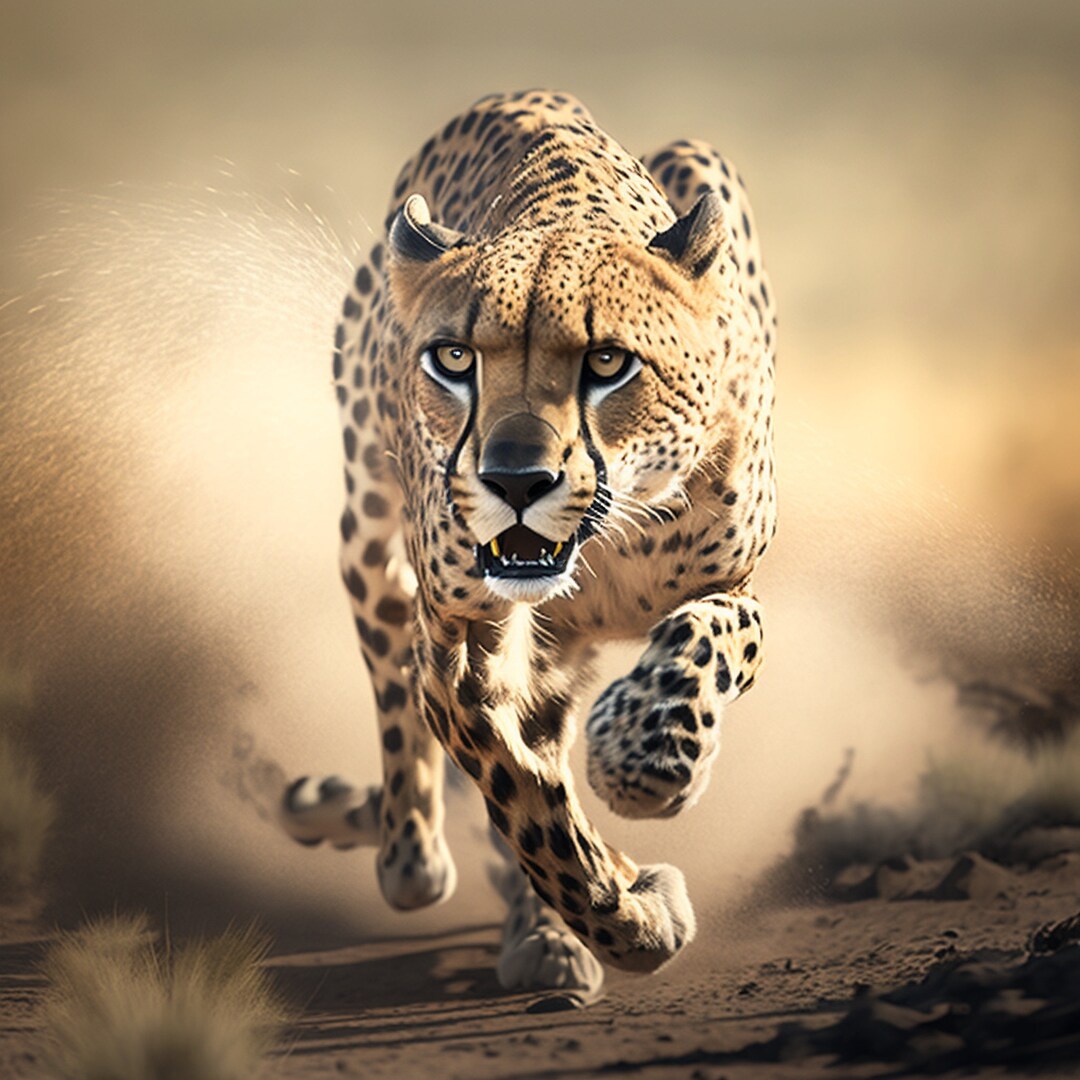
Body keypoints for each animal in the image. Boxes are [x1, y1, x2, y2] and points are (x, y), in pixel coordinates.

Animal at [280, 89, 776, 1002]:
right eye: (454, 359)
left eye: (608, 363)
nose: (514, 478)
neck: (607, 543)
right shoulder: (459, 655)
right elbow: (528, 809)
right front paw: (632, 921)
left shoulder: (737, 576)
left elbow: (709, 633)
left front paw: (646, 756)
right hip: (367, 534)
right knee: (411, 770)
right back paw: (425, 862)